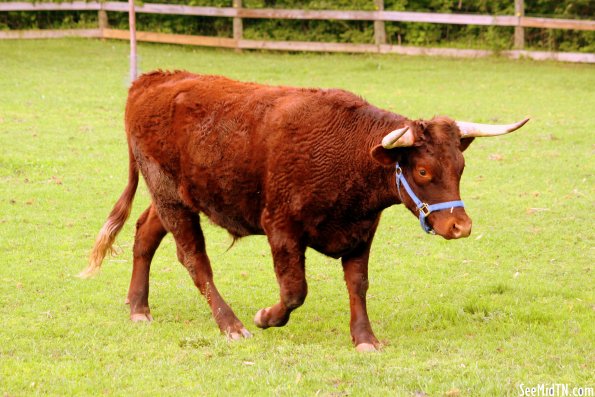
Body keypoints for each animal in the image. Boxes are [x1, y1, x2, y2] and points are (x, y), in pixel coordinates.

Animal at [80, 70, 532, 350]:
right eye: (423, 169)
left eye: (460, 166)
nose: (460, 226)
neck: (349, 152)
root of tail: (153, 80)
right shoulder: (281, 227)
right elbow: (295, 290)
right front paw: (266, 317)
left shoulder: (361, 231)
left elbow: (358, 285)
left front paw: (365, 338)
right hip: (170, 195)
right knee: (194, 259)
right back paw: (231, 325)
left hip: (175, 196)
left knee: (145, 234)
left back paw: (139, 307)